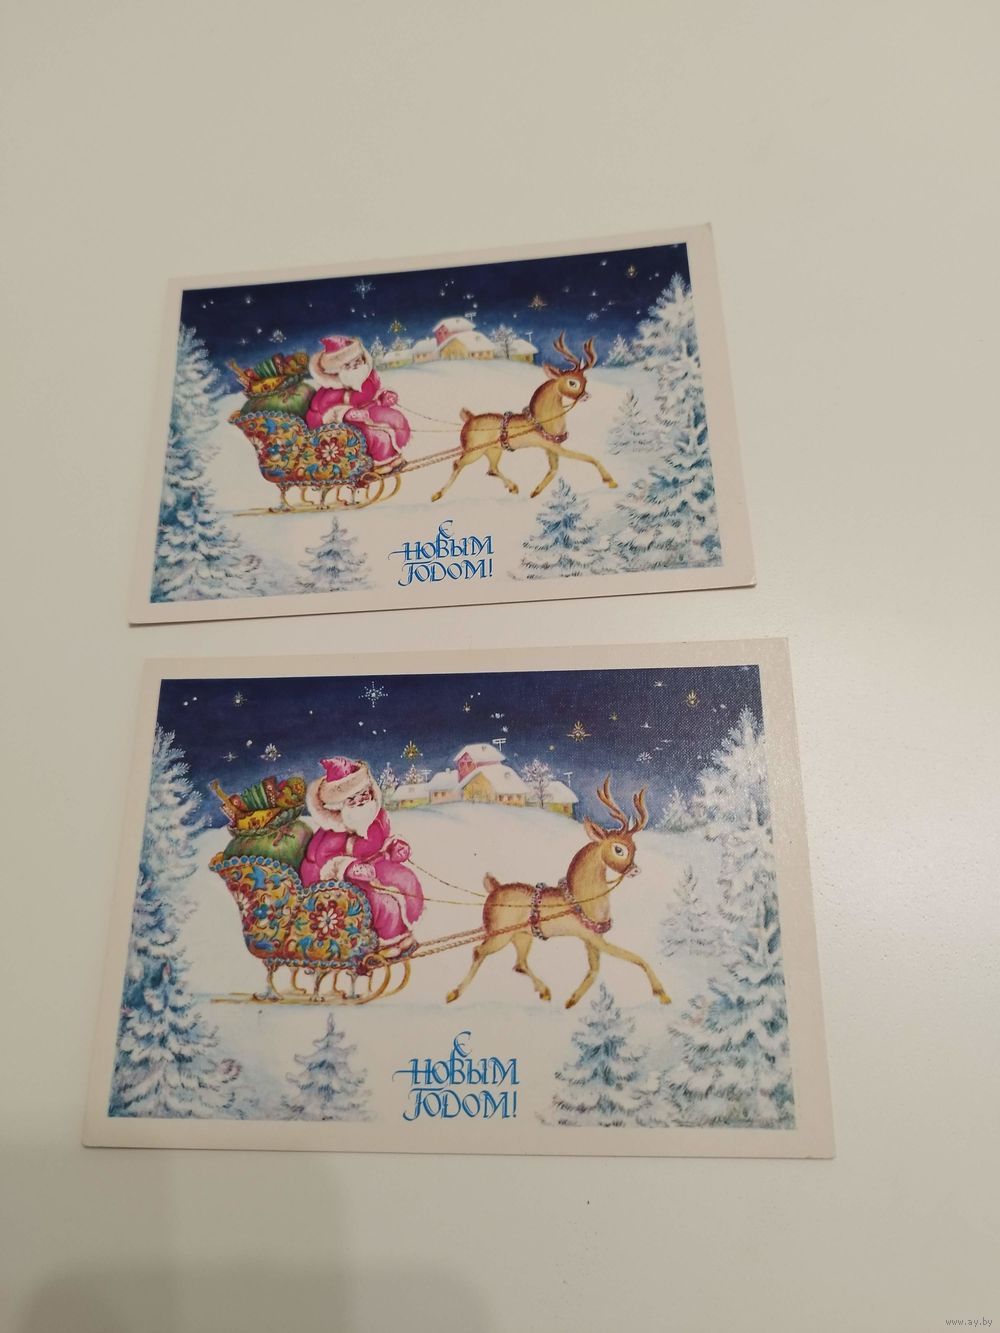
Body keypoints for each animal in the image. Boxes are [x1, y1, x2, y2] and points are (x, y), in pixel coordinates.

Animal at [430, 334, 617, 503]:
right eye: (572, 382)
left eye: (585, 380)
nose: (586, 396)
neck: (542, 420)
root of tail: (469, 418)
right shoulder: (553, 446)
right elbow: (588, 457)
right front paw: (610, 481)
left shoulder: (550, 448)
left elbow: (554, 469)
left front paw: (535, 492)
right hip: (473, 452)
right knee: (457, 463)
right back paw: (437, 495)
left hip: (493, 450)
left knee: (491, 469)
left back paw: (513, 487)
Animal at [445, 778, 670, 1009]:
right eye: (619, 849)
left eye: (634, 847)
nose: (636, 870)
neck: (581, 898)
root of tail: (493, 888)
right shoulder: (594, 938)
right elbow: (636, 958)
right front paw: (662, 994)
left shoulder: (590, 939)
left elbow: (594, 970)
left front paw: (571, 1001)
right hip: (500, 935)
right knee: (478, 952)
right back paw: (453, 993)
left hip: (522, 936)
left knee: (519, 963)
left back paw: (545, 992)